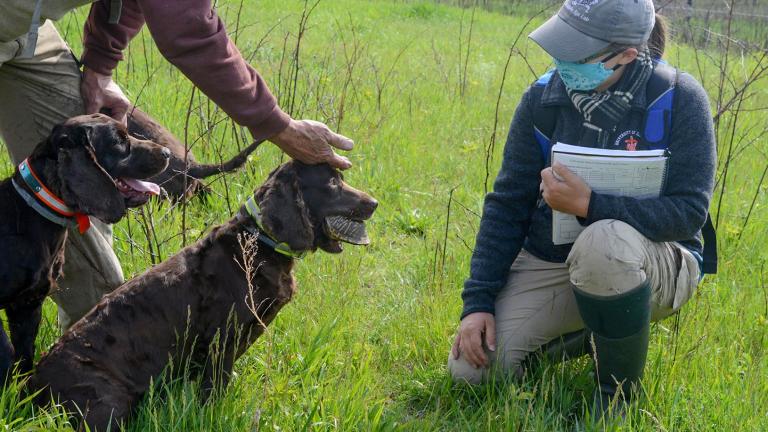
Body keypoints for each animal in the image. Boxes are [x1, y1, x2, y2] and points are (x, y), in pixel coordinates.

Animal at [30, 160, 378, 430]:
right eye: (332, 184)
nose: (374, 203)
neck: (257, 244)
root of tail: (30, 386)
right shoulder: (222, 339)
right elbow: (214, 390)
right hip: (108, 399)